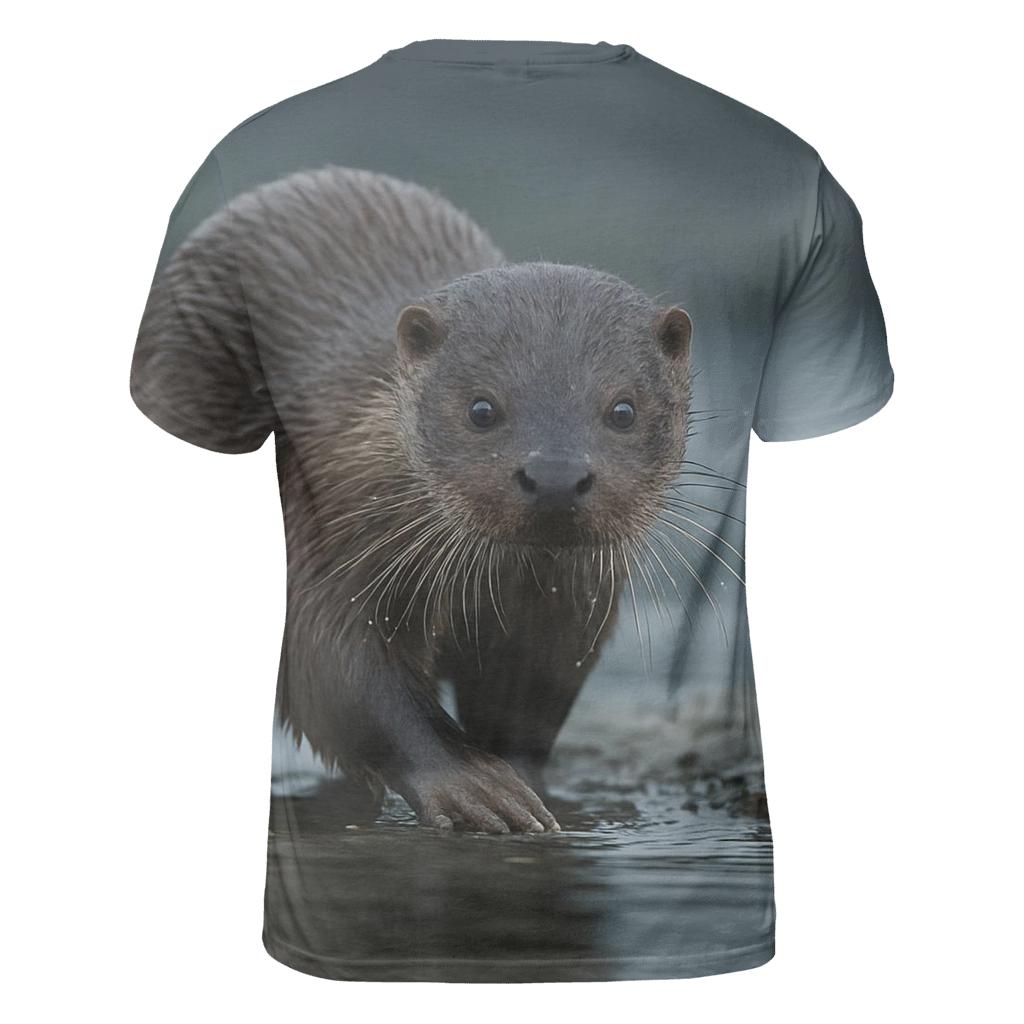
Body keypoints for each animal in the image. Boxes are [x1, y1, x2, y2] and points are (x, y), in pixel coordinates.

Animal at [134, 166, 693, 833]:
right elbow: (335, 667)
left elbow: (529, 702)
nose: (555, 474)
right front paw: (476, 786)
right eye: (481, 408)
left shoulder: (566, 611)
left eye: (623, 410)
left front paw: (527, 786)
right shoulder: (334, 535)